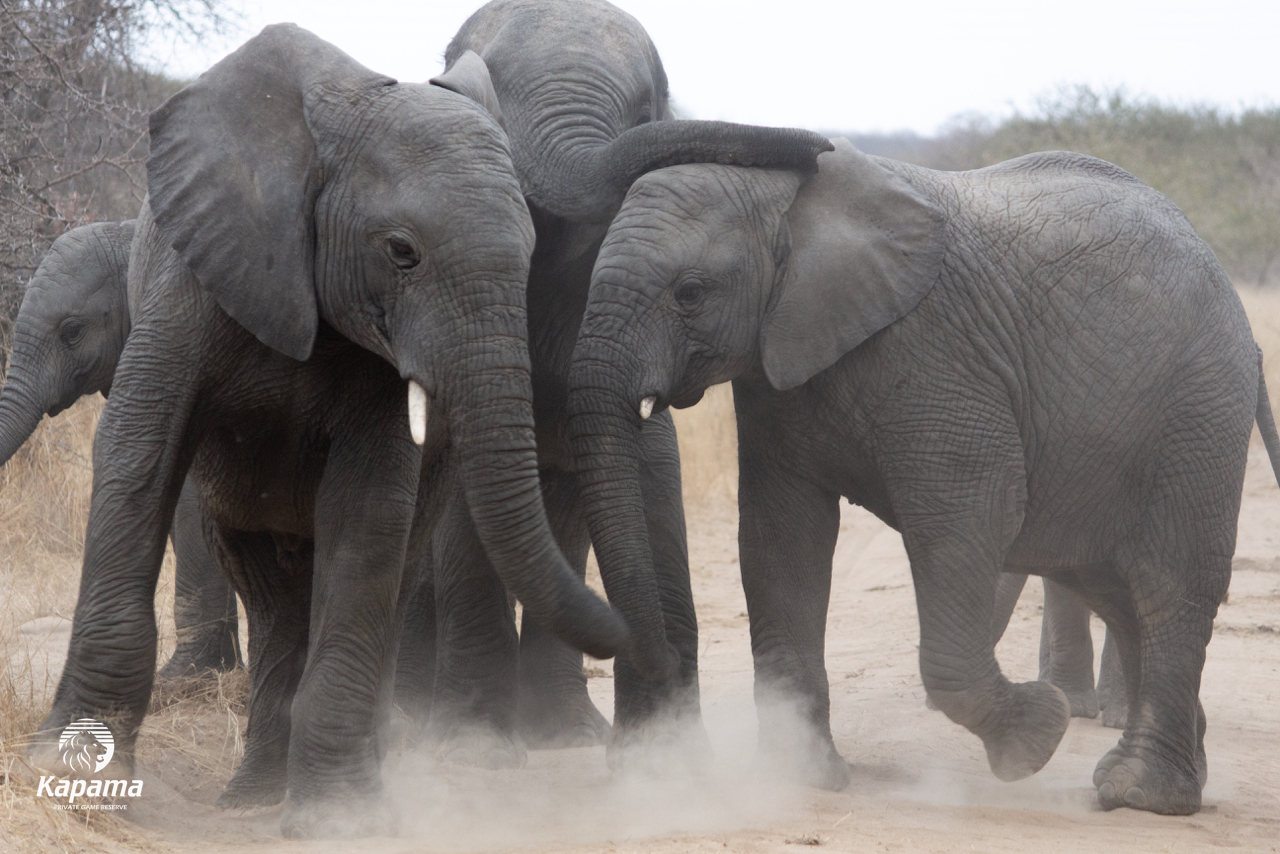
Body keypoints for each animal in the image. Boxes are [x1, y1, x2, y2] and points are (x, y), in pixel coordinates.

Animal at [34, 25, 627, 839]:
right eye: (401, 251)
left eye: (532, 251)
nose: (626, 629)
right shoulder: (191, 286)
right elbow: (138, 453)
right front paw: (70, 778)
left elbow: (370, 505)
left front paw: (343, 818)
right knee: (270, 594)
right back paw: (251, 798)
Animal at [413, 0, 832, 766]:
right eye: (493, 99)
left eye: (644, 108)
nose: (819, 148)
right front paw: (476, 759)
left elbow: (645, 465)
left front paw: (664, 759)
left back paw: (566, 735)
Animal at [566, 137, 1280, 815]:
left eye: (689, 292)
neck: (793, 200)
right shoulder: (778, 369)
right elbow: (781, 536)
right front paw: (802, 780)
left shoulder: (939, 355)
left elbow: (971, 515)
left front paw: (1037, 736)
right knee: (1114, 589)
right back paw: (1164, 774)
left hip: (1198, 412)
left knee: (1165, 584)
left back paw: (1140, 795)